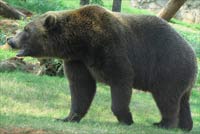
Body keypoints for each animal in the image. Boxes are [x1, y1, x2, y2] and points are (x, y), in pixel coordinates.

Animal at [7, 4, 198, 131]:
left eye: (26, 29)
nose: (10, 40)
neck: (81, 42)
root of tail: (193, 54)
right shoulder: (78, 61)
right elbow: (80, 88)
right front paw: (67, 117)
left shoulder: (109, 46)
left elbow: (121, 79)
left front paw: (126, 119)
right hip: (181, 76)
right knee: (183, 100)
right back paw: (185, 126)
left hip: (168, 67)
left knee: (166, 98)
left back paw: (164, 124)